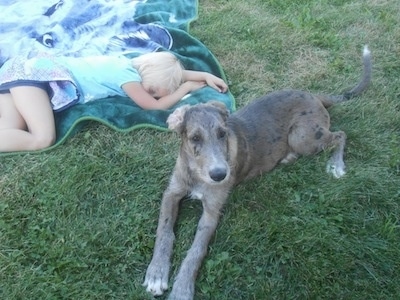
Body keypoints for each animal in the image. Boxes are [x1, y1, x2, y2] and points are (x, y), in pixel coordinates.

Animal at [143, 45, 372, 298]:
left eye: (222, 133)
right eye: (195, 138)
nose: (220, 175)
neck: (196, 174)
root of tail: (314, 95)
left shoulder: (212, 211)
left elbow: (196, 250)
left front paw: (182, 288)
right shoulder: (172, 193)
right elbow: (164, 230)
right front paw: (156, 272)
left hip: (304, 137)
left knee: (340, 134)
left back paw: (336, 164)